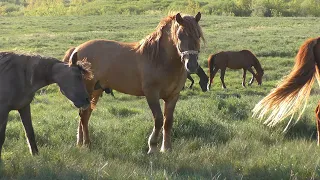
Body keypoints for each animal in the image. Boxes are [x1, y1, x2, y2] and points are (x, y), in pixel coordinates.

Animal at [62, 12, 204, 153]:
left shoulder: (173, 96)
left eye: (198, 35)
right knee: (84, 116)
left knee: (85, 116)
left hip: (95, 91)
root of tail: (77, 49)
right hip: (90, 90)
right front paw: (152, 147)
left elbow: (167, 121)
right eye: (180, 36)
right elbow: (158, 119)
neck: (159, 59)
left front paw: (166, 148)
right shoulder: (151, 94)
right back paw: (87, 144)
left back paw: (80, 143)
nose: (191, 65)